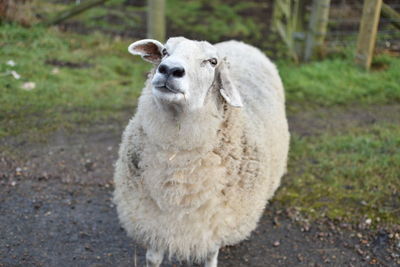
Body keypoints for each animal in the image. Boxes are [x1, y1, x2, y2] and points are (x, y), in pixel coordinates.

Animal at [114, 36, 290, 267]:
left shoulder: (213, 223)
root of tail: (241, 43)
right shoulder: (153, 218)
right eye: (164, 51)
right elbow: (153, 258)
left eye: (212, 61)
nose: (169, 69)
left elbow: (210, 255)